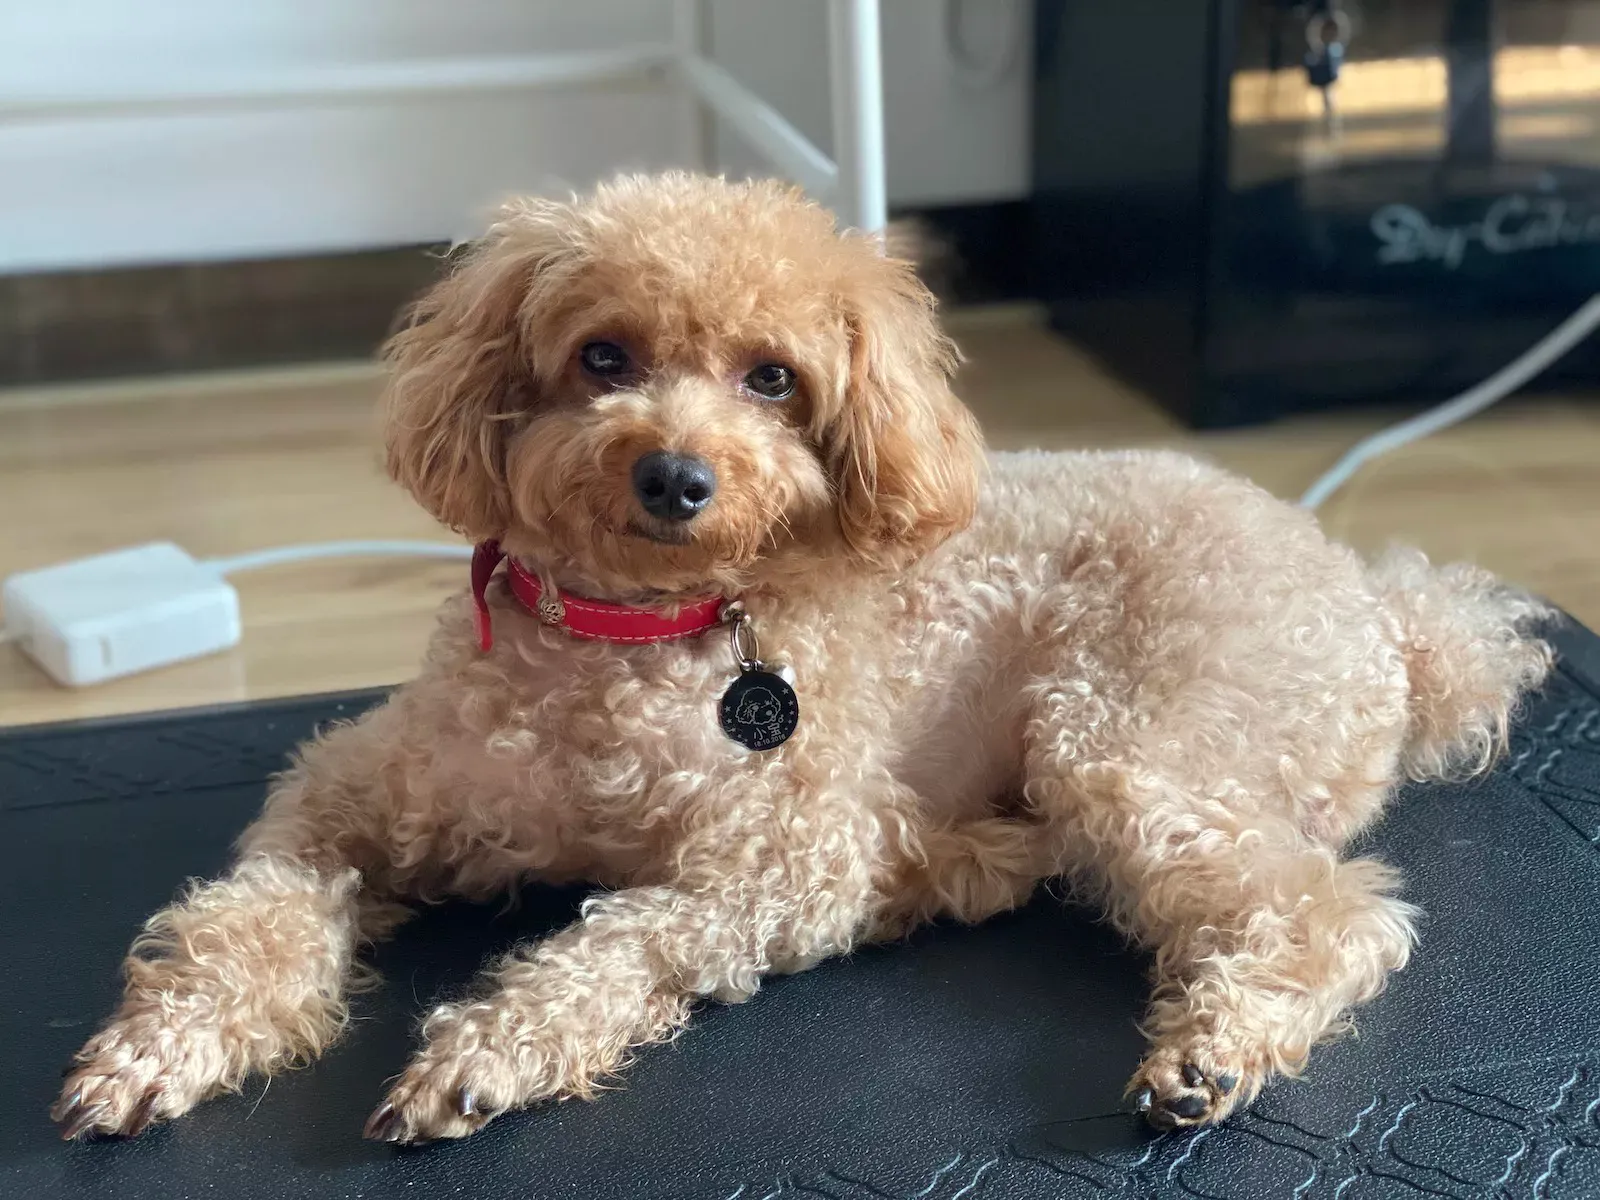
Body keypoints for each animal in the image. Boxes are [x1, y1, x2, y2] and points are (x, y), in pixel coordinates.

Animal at [53, 173, 1548, 1139]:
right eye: (602, 357)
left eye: (773, 378)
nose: (674, 475)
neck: (636, 632)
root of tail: (1387, 616)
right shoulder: (340, 797)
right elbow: (248, 916)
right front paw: (165, 1043)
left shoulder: (787, 856)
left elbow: (624, 940)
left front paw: (487, 1051)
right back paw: (961, 871)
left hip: (1129, 738)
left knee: (1333, 912)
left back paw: (1213, 1048)